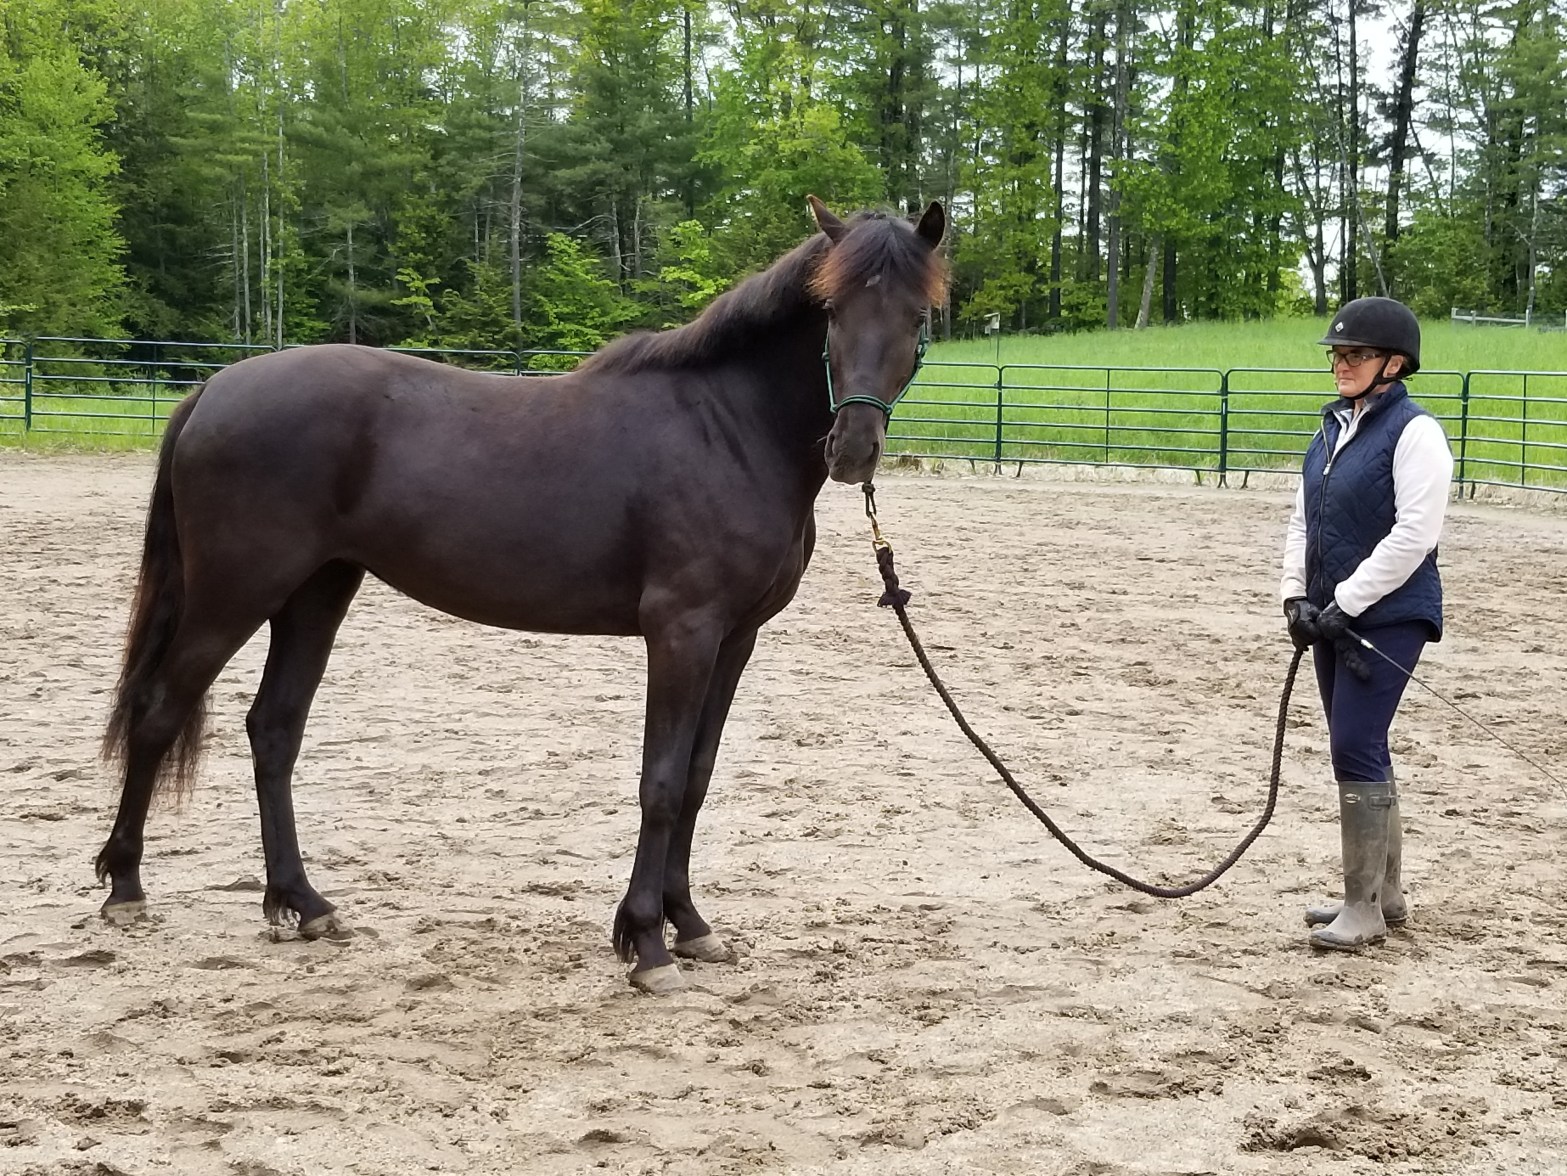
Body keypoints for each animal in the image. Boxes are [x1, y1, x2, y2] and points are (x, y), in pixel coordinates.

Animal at [97, 196, 948, 992]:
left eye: (916, 318)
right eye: (830, 312)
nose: (853, 450)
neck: (726, 428)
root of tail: (215, 390)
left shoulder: (734, 637)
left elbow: (697, 779)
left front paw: (690, 926)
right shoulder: (682, 631)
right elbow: (661, 782)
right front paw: (645, 944)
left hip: (314, 591)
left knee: (273, 731)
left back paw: (303, 904)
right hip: (235, 592)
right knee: (159, 711)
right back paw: (126, 887)